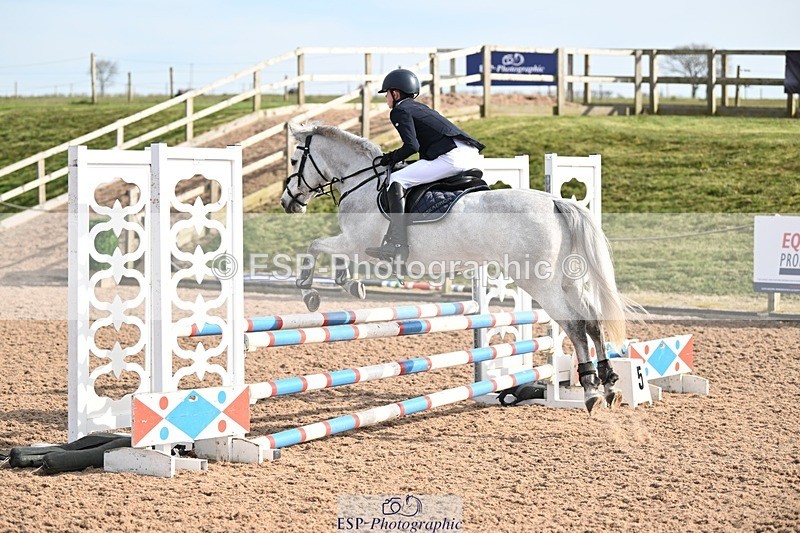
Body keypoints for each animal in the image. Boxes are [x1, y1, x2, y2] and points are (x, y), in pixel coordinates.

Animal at [280, 122, 630, 412]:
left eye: (295, 161)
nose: (288, 202)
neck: (363, 183)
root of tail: (557, 202)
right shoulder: (354, 245)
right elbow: (334, 260)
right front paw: (351, 284)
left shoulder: (356, 243)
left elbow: (316, 246)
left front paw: (310, 291)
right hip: (570, 281)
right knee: (593, 321)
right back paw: (609, 385)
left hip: (540, 283)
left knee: (575, 325)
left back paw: (590, 391)